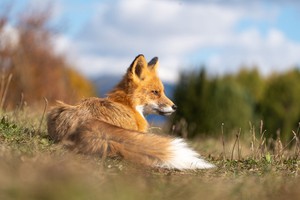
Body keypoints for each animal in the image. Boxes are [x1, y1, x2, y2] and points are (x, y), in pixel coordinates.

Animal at [47, 54, 214, 170]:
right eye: (155, 92)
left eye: (162, 91)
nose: (175, 107)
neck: (128, 105)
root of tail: (84, 121)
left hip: (55, 110)